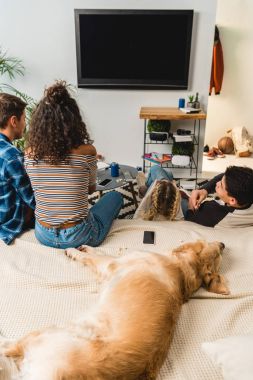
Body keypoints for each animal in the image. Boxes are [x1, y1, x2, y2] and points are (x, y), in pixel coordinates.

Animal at [1, 240, 228, 380]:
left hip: (48, 333)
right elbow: (98, 251)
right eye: (218, 255)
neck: (184, 268)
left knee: (9, 346)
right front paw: (85, 247)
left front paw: (74, 251)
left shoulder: (113, 263)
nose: (223, 244)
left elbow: (97, 257)